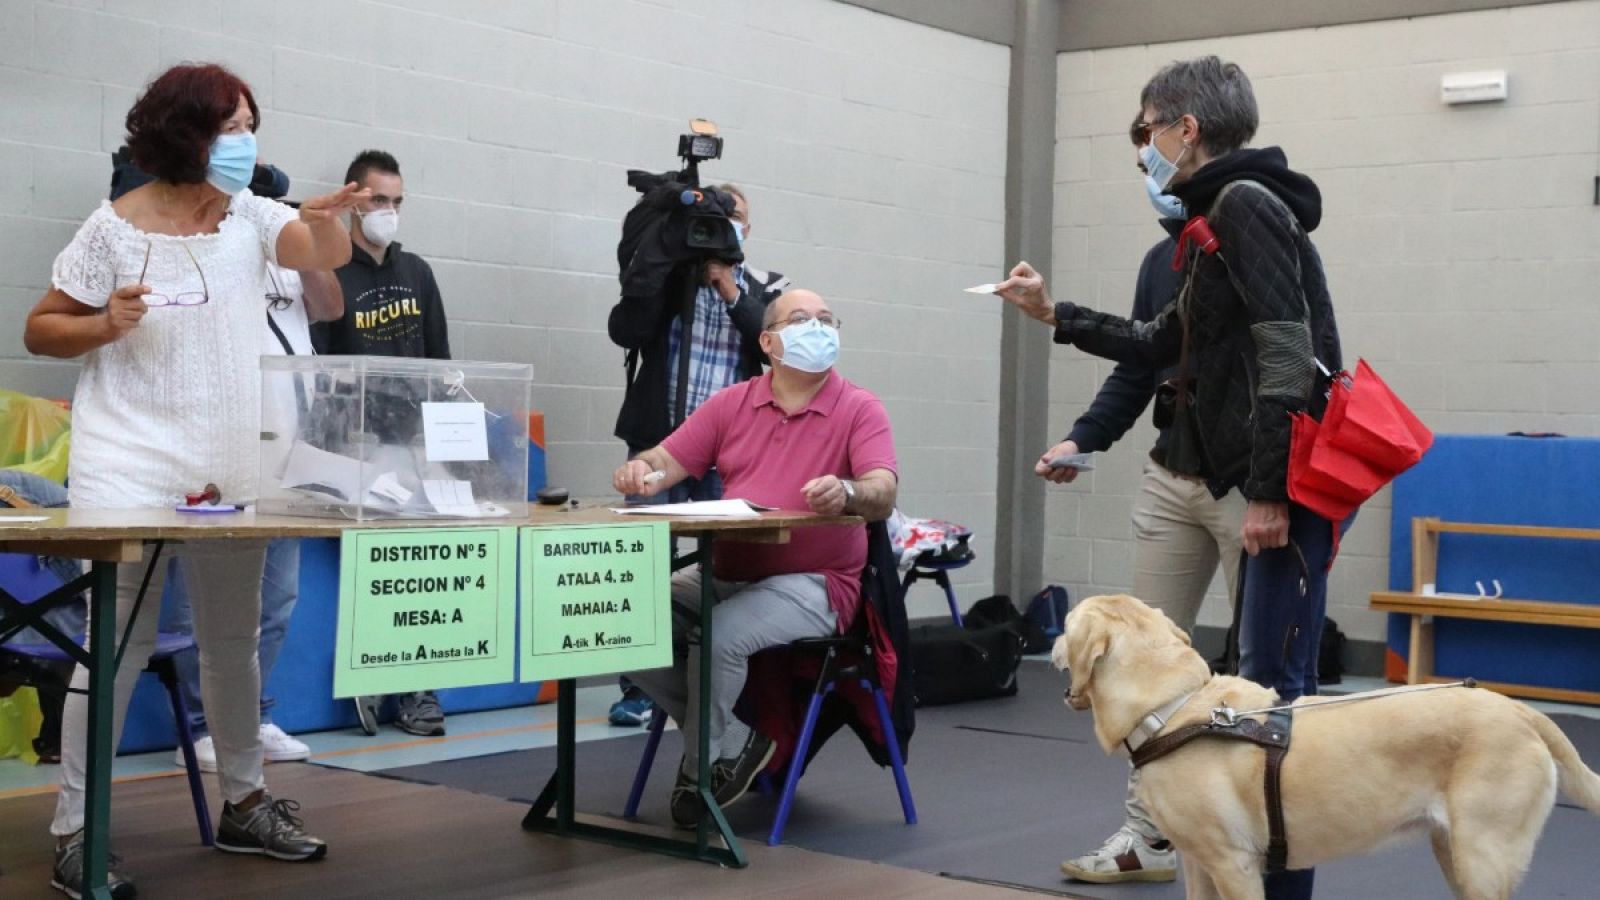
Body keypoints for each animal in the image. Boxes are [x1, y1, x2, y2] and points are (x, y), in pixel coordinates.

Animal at [1056, 592, 1600, 890]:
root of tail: (1520, 709)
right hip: (1454, 851)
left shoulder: (1234, 866)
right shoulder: (1199, 864)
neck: (1175, 708)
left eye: (1064, 626)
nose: (1056, 644)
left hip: (1483, 856)